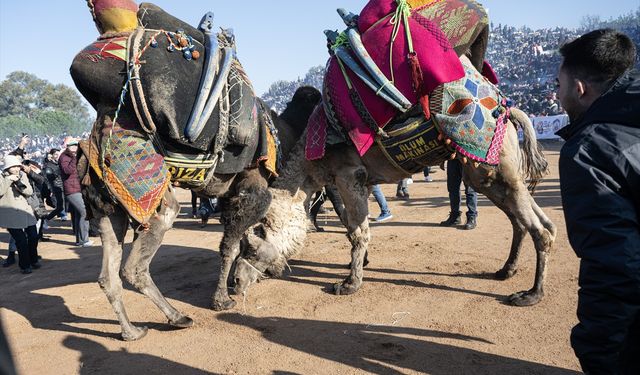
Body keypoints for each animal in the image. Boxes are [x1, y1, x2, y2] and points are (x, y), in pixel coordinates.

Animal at [72, 0, 320, 340]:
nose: (278, 270)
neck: (282, 136)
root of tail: (92, 144)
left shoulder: (229, 193)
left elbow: (236, 239)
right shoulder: (253, 188)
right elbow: (230, 245)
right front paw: (223, 299)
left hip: (106, 206)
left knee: (108, 275)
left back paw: (132, 331)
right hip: (149, 192)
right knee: (134, 266)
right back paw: (177, 317)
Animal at [234, 0, 556, 308]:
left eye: (251, 246)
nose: (235, 281)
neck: (312, 158)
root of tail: (509, 110)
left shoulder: (348, 174)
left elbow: (357, 231)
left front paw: (349, 284)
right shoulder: (359, 181)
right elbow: (353, 226)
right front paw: (360, 263)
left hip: (495, 163)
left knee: (541, 229)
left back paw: (531, 294)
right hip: (488, 173)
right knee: (527, 220)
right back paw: (506, 270)